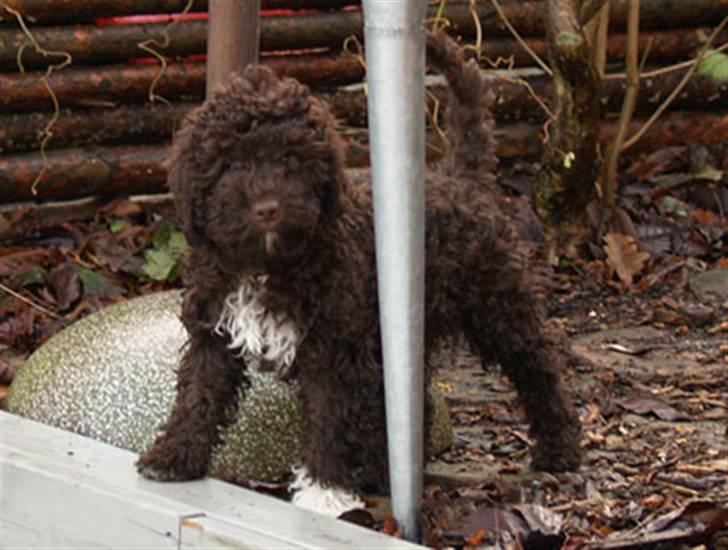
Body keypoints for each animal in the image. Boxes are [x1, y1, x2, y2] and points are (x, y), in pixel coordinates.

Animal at [135, 32, 580, 508]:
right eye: (230, 164)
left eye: (292, 160)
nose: (268, 208)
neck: (266, 263)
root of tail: (461, 177)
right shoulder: (214, 329)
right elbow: (198, 394)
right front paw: (173, 456)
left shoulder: (335, 347)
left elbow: (329, 416)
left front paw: (323, 490)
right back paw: (386, 472)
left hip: (496, 301)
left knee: (537, 366)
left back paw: (560, 447)